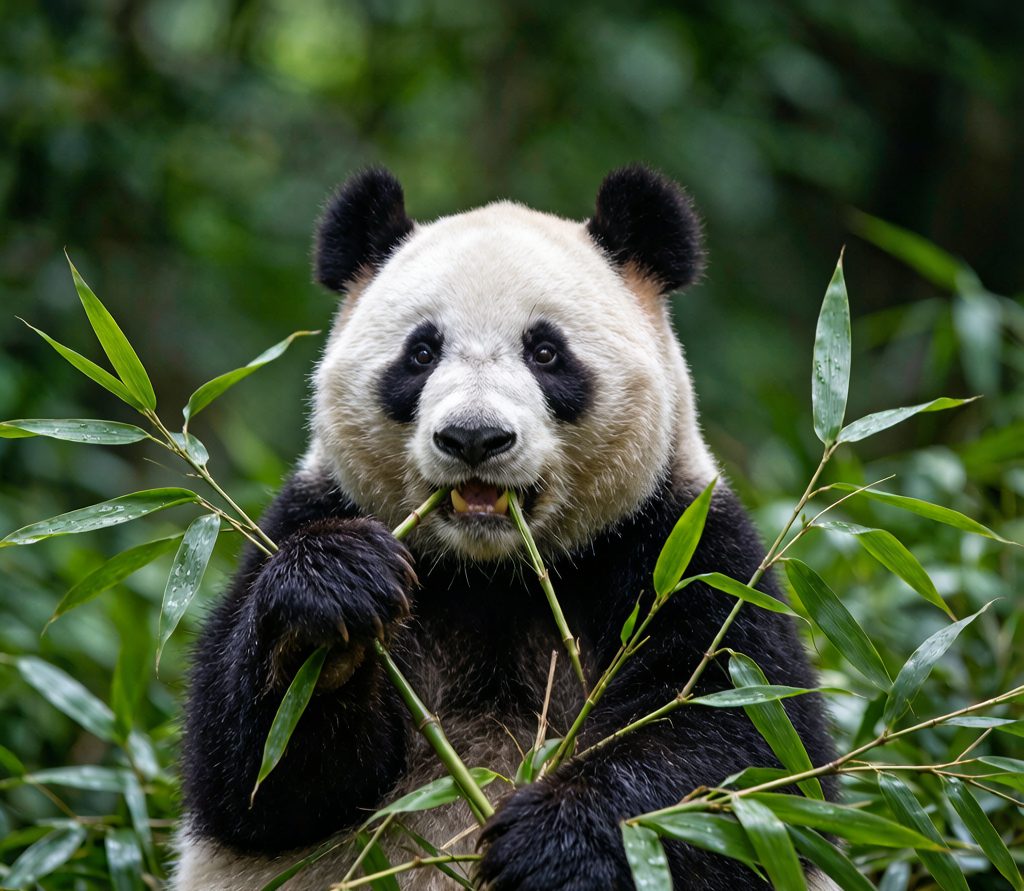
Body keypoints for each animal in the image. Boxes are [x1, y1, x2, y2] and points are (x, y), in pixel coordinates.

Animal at [175, 166, 835, 890]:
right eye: (421, 352)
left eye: (545, 351)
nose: (474, 436)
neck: (496, 572)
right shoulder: (313, 509)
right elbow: (255, 779)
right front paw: (331, 602)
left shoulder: (681, 545)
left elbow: (745, 746)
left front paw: (555, 840)